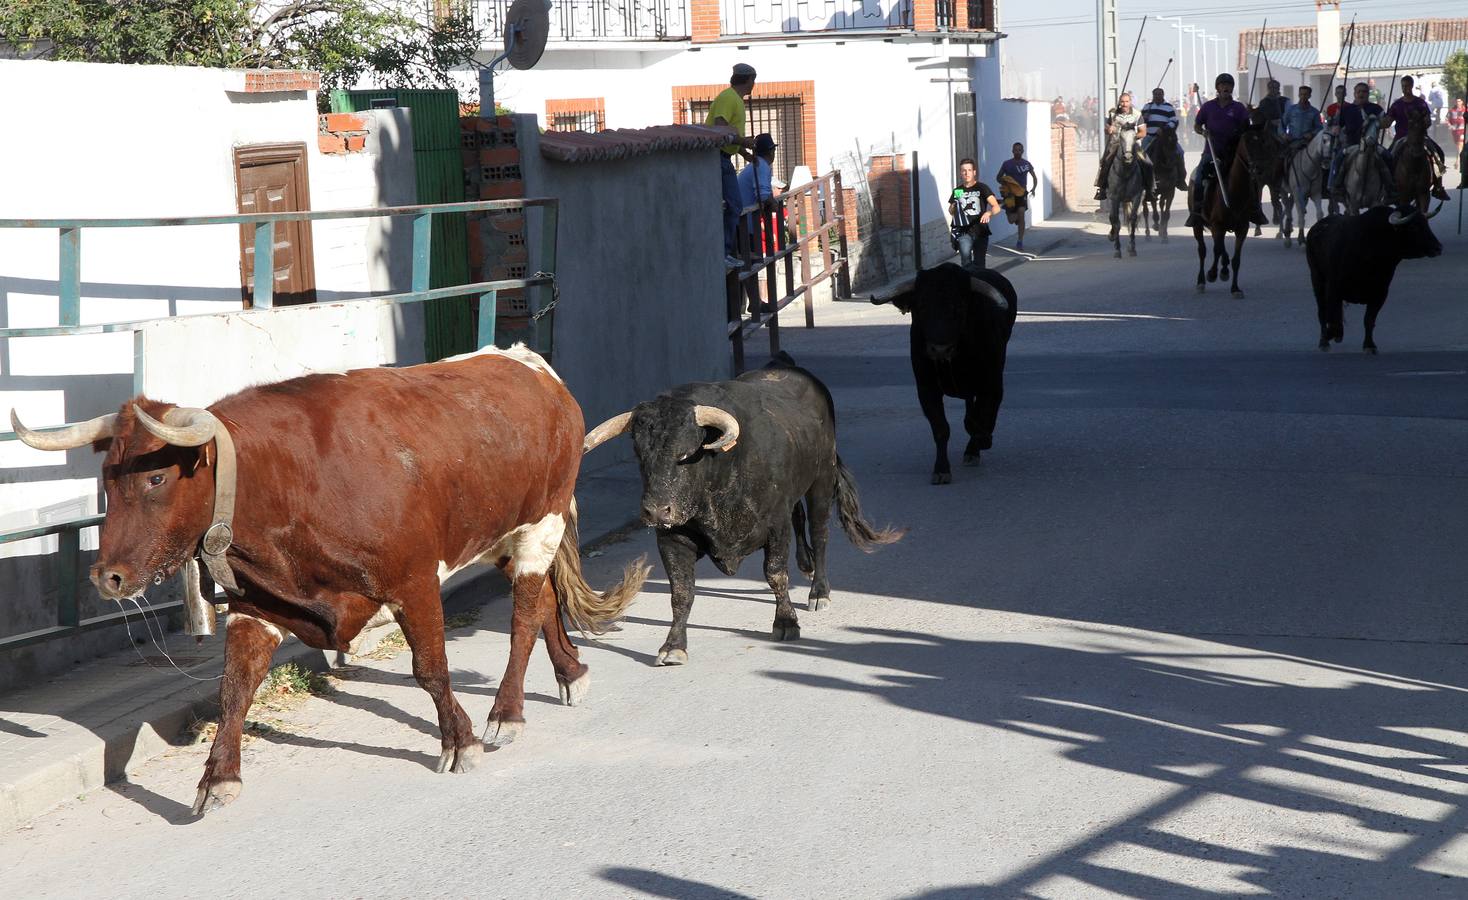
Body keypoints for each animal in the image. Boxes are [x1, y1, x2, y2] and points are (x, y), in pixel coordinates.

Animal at [584, 353, 904, 663]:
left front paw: (786, 623)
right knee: (799, 517)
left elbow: (775, 574)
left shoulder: (775, 527)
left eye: (685, 453)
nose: (656, 512)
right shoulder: (672, 539)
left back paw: (819, 591)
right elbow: (681, 592)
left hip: (822, 479)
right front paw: (673, 646)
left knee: (819, 530)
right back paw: (806, 564)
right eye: (639, 454)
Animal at [869, 261, 1021, 484]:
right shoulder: (926, 389)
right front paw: (941, 469)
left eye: (959, 307)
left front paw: (981, 441)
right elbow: (941, 428)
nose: (940, 349)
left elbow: (984, 415)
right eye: (921, 306)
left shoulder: (992, 385)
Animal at [1103, 122, 1150, 258]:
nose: (1128, 157)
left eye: (1135, 138)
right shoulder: (1114, 198)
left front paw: (1132, 248)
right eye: (1121, 137)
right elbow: (1115, 220)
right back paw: (1112, 236)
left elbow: (1133, 219)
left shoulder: (1136, 197)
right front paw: (1117, 250)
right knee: (1112, 217)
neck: (1125, 173)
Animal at [1186, 122, 1280, 296]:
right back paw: (1202, 281)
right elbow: (1217, 249)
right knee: (1203, 250)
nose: (1259, 168)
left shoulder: (1242, 228)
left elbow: (1236, 259)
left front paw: (1235, 288)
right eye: (1247, 143)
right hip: (1198, 224)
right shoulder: (1217, 225)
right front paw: (1213, 274)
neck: (1233, 190)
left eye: (1264, 142)